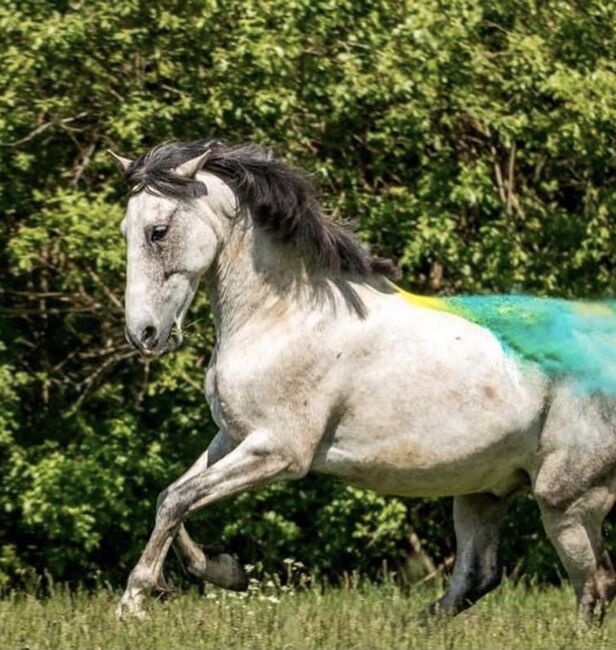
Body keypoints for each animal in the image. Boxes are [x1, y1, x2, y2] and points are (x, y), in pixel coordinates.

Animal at [108, 140, 616, 616]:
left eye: (158, 231)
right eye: (125, 230)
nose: (144, 334)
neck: (281, 317)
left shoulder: (279, 451)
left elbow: (180, 499)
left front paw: (134, 602)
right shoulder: (232, 437)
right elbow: (172, 495)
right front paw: (225, 571)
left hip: (564, 499)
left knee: (593, 585)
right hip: (484, 490)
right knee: (478, 577)